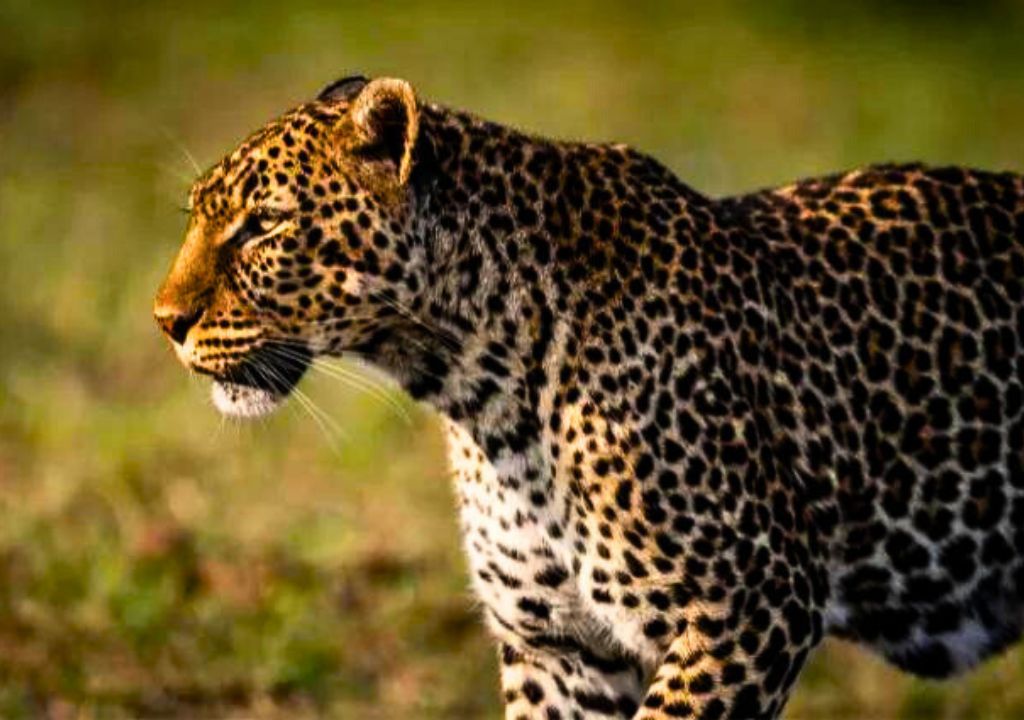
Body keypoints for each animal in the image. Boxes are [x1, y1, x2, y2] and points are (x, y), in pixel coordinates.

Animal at [154, 74, 1024, 719]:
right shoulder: (560, 648)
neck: (482, 388)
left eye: (264, 225)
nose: (165, 320)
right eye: (199, 216)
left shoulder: (751, 607)